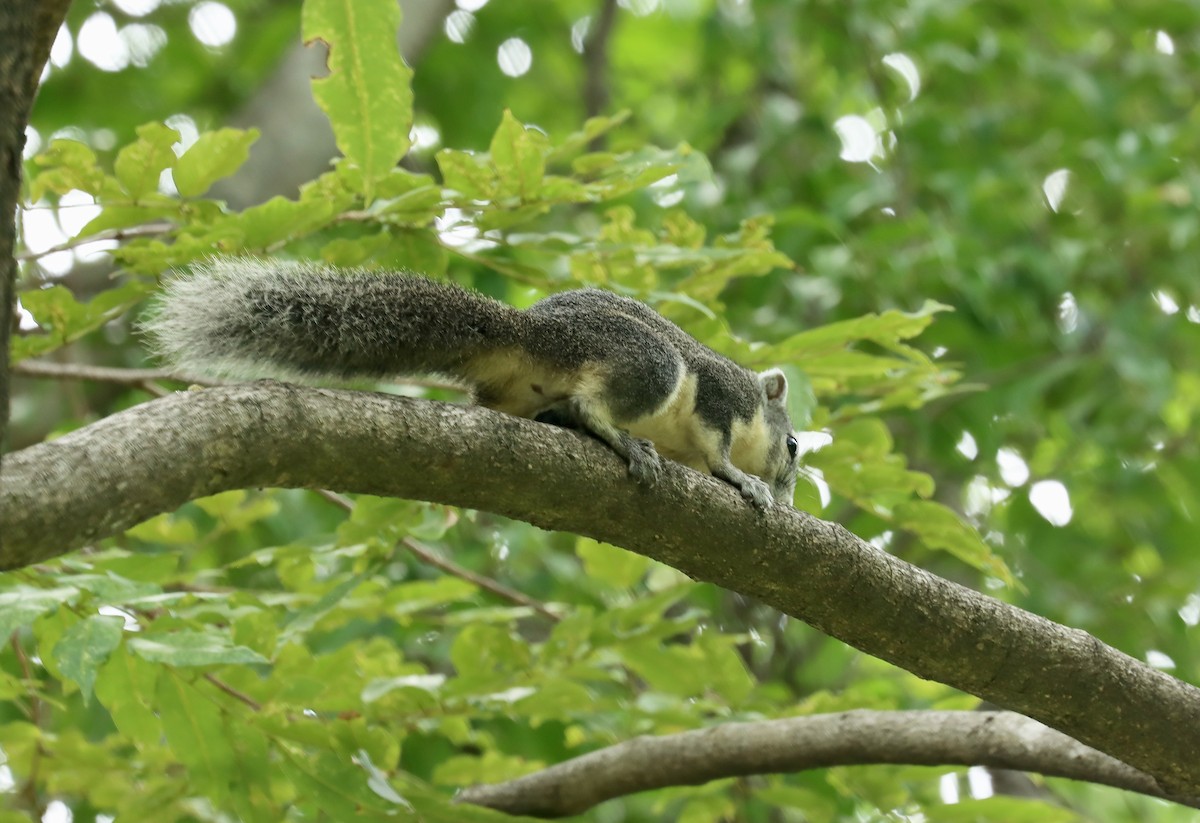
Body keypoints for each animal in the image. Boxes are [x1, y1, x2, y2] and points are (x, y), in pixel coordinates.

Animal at [144, 258, 801, 509]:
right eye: (794, 446)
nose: (793, 496)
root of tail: (534, 333)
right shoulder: (717, 397)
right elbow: (718, 451)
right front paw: (744, 480)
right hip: (647, 363)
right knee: (593, 403)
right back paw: (621, 440)